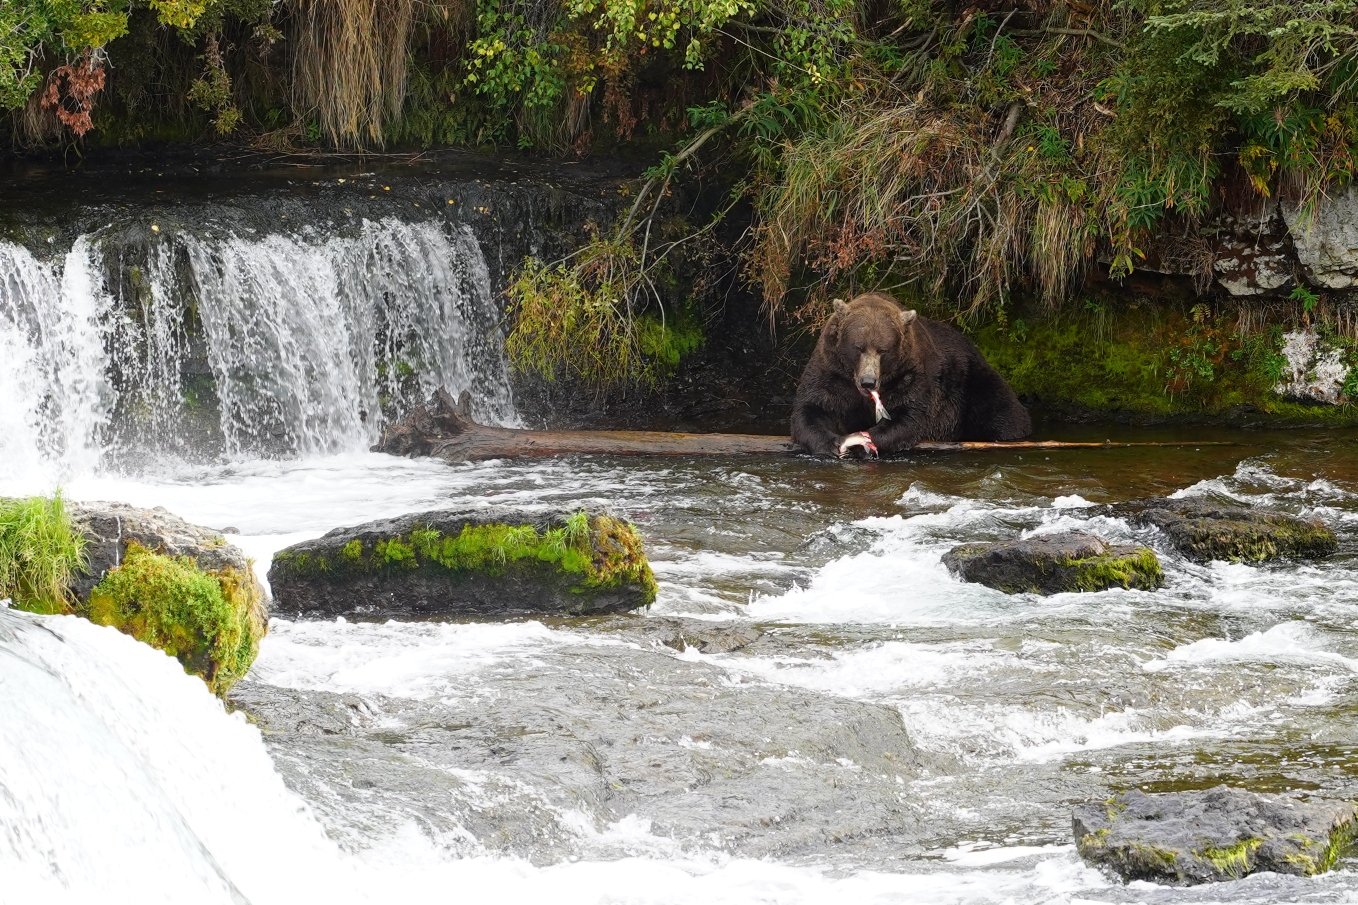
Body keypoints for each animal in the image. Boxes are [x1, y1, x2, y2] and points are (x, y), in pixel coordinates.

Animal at [793, 292, 1021, 453]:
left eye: (883, 350)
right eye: (858, 347)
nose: (868, 381)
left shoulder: (909, 375)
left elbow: (909, 414)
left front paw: (863, 442)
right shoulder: (832, 371)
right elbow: (813, 407)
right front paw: (830, 443)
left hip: (972, 383)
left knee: (1001, 413)